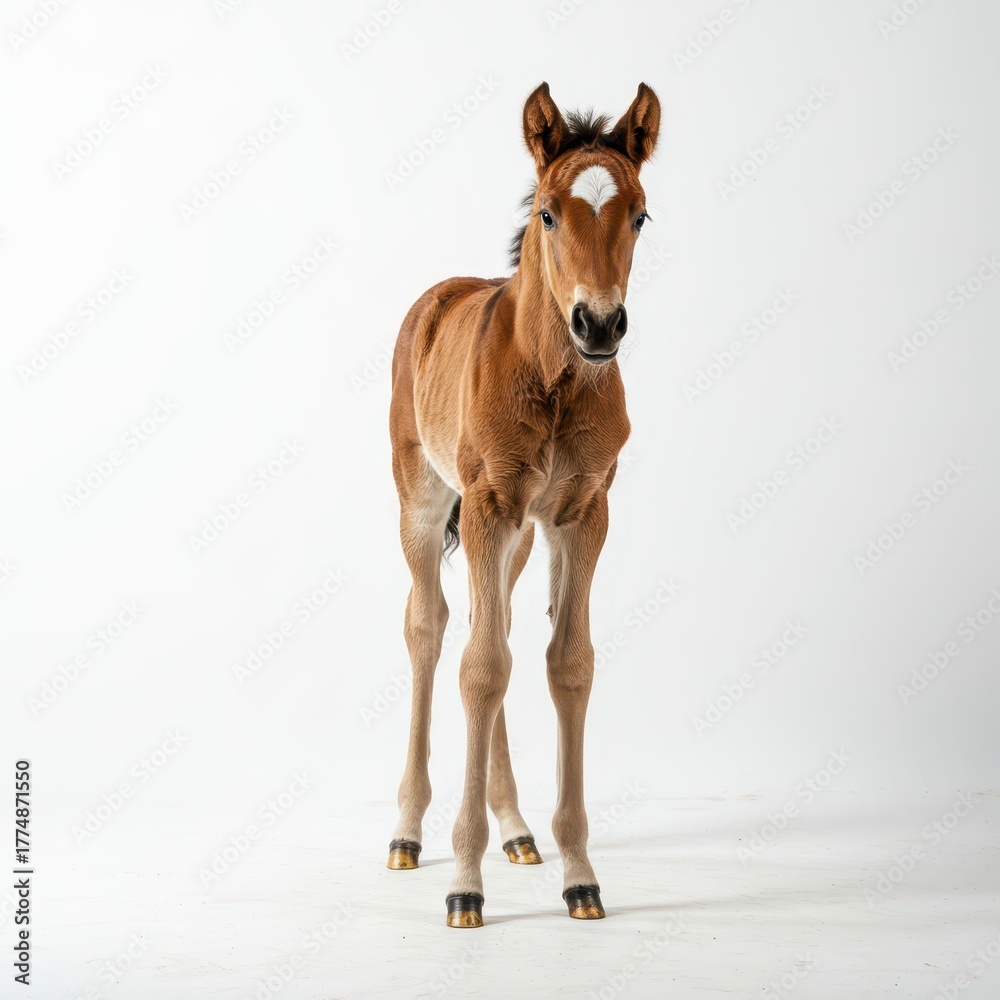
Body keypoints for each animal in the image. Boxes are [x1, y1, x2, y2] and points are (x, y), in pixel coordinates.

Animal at [386, 81, 660, 927]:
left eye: (639, 215)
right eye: (546, 213)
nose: (598, 322)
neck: (554, 379)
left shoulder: (583, 510)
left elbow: (564, 663)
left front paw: (579, 875)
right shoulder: (485, 502)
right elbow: (478, 669)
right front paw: (463, 886)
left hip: (517, 539)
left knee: (493, 623)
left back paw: (515, 830)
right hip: (423, 498)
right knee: (430, 627)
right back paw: (407, 833)